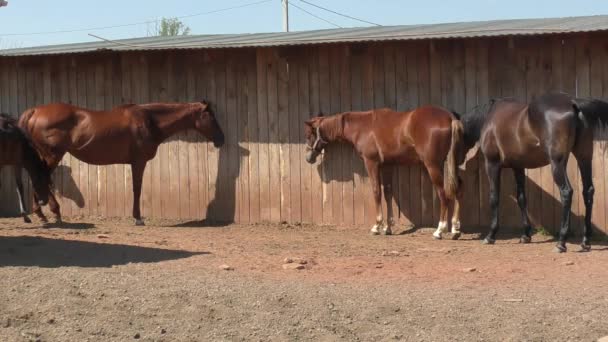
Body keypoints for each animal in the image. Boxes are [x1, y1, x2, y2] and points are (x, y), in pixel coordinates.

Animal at [19, 100, 224, 226]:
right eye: (211, 116)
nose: (221, 139)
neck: (148, 121)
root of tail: (35, 111)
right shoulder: (138, 162)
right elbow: (137, 188)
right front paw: (138, 218)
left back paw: (43, 214)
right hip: (52, 154)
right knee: (42, 177)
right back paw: (52, 213)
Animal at [304, 106, 466, 238]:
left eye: (310, 135)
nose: (308, 158)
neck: (364, 127)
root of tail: (450, 117)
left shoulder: (372, 163)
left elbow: (377, 191)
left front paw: (377, 226)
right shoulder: (388, 165)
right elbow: (388, 193)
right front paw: (388, 227)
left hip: (433, 166)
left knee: (443, 194)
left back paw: (440, 230)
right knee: (458, 189)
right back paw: (455, 229)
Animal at [460, 92, 608, 252]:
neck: (488, 118)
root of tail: (573, 103)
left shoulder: (492, 164)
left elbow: (494, 198)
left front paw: (490, 235)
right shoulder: (518, 167)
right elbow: (521, 198)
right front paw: (526, 235)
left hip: (557, 163)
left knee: (566, 192)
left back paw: (561, 242)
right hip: (584, 157)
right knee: (588, 191)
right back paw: (585, 241)